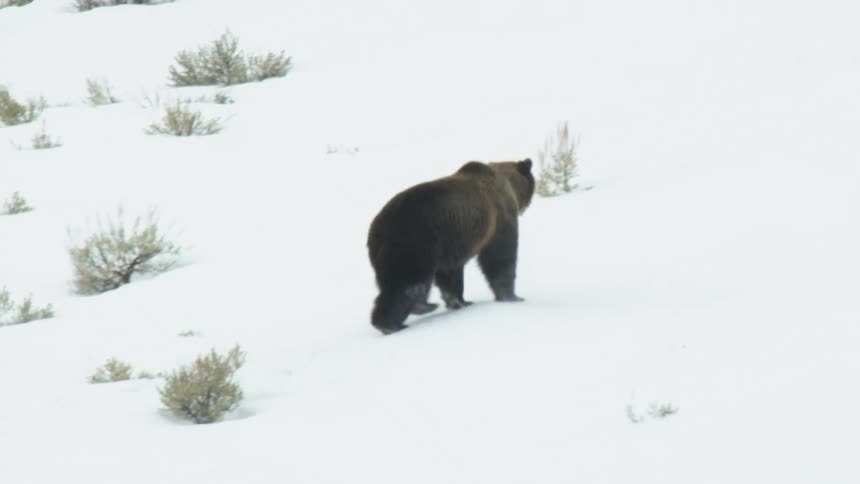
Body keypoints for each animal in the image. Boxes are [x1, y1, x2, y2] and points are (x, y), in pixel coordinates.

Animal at [367, 158, 535, 334]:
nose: (528, 205)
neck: (509, 187)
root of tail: (378, 228)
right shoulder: (498, 219)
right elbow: (500, 257)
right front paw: (513, 297)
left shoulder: (452, 244)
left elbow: (450, 274)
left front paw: (460, 301)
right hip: (415, 242)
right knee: (409, 283)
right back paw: (398, 321)